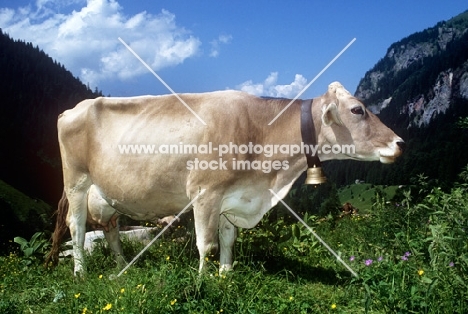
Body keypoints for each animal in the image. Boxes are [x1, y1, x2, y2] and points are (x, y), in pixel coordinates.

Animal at [47, 82, 404, 276]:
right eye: (358, 110)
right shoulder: (205, 192)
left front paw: (226, 274)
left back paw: (124, 266)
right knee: (77, 228)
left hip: (107, 197)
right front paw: (203, 281)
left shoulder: (232, 198)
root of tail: (72, 109)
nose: (400, 143)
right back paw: (81, 272)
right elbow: (207, 243)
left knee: (111, 229)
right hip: (76, 182)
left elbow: (229, 240)